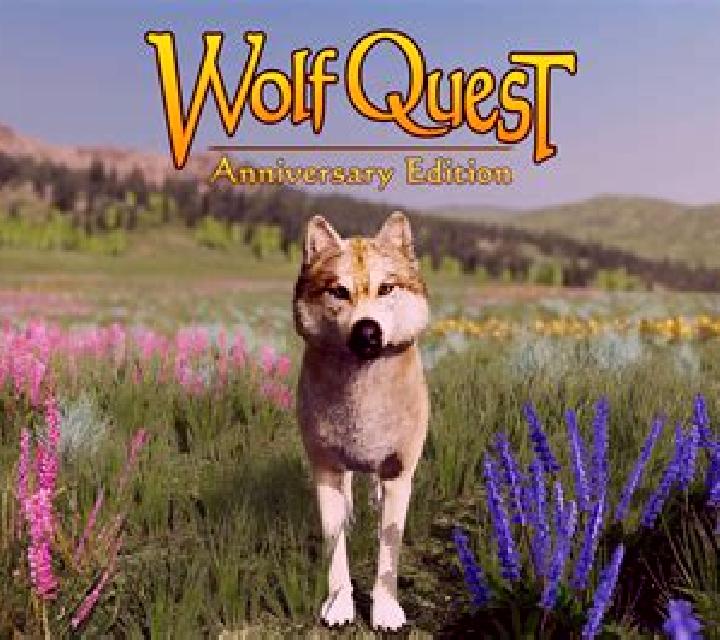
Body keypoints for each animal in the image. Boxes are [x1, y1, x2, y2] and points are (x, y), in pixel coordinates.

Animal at [293, 212, 430, 631]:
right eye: (338, 291)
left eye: (386, 288)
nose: (367, 330)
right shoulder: (325, 468)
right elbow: (334, 548)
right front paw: (339, 605)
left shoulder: (399, 470)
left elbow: (389, 551)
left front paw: (386, 611)